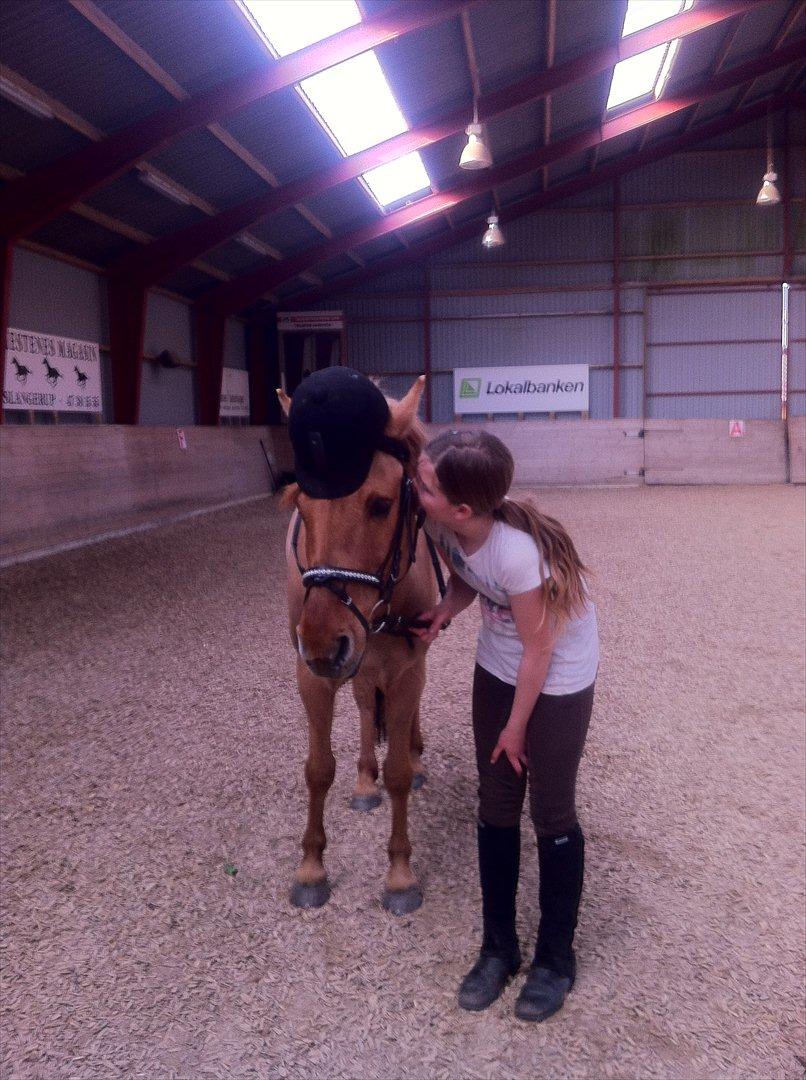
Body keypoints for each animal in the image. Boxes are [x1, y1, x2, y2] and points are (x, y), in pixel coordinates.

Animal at [277, 376, 439, 916]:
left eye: (380, 504)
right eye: (301, 509)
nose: (325, 643)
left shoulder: (407, 668)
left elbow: (400, 775)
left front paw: (400, 875)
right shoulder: (311, 673)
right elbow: (318, 769)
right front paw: (311, 866)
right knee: (367, 703)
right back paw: (365, 780)